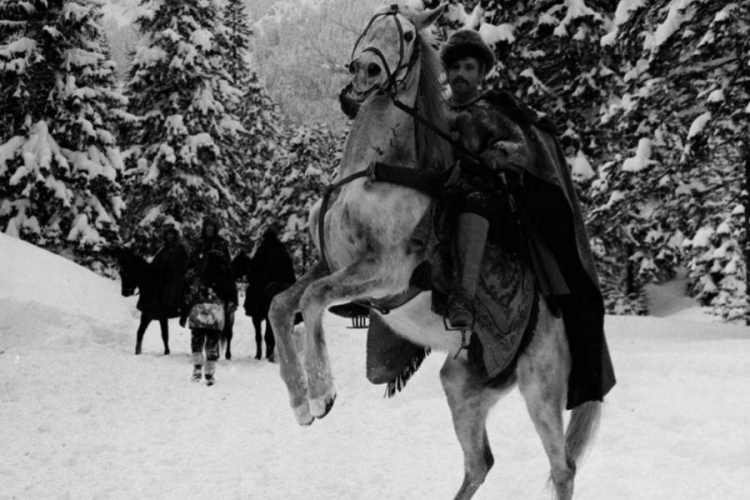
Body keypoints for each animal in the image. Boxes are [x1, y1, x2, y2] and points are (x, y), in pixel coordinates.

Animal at [268, 4, 604, 500]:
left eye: (408, 34)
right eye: (371, 26)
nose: (365, 70)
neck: (372, 173)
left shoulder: (385, 273)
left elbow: (311, 300)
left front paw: (322, 393)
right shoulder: (329, 264)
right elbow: (280, 304)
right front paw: (298, 402)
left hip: (540, 389)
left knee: (562, 467)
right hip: (463, 385)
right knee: (479, 464)